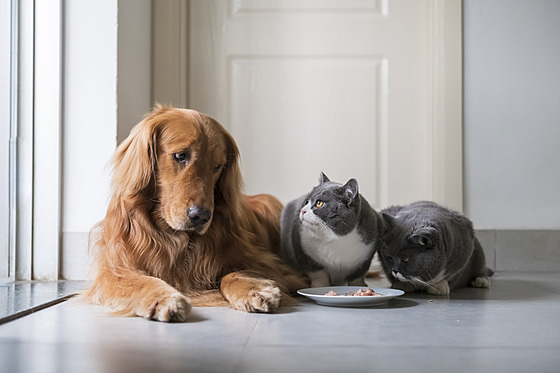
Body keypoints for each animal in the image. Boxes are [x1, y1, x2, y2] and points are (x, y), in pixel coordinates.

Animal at [84, 104, 306, 320]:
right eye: (181, 156)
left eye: (218, 166)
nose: (200, 216)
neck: (177, 239)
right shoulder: (113, 271)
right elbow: (140, 281)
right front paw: (163, 298)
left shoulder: (281, 271)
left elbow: (232, 274)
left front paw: (253, 289)